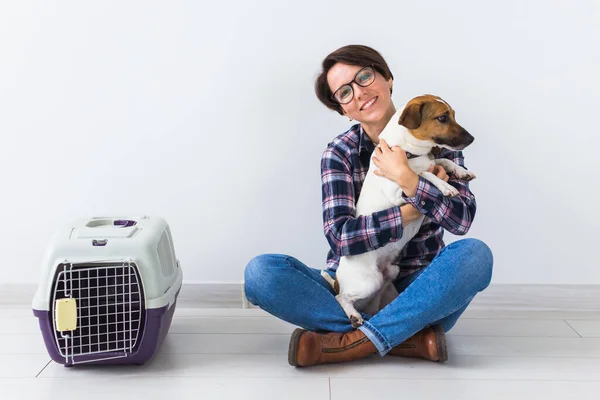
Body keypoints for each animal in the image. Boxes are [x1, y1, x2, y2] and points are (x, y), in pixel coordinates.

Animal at [322, 94, 476, 328]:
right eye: (442, 117)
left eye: (454, 115)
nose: (472, 138)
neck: (407, 152)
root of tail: (339, 280)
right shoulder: (397, 191)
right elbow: (424, 176)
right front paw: (445, 186)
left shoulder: (429, 162)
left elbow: (441, 161)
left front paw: (459, 171)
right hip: (368, 281)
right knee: (340, 297)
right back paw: (353, 316)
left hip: (388, 277)